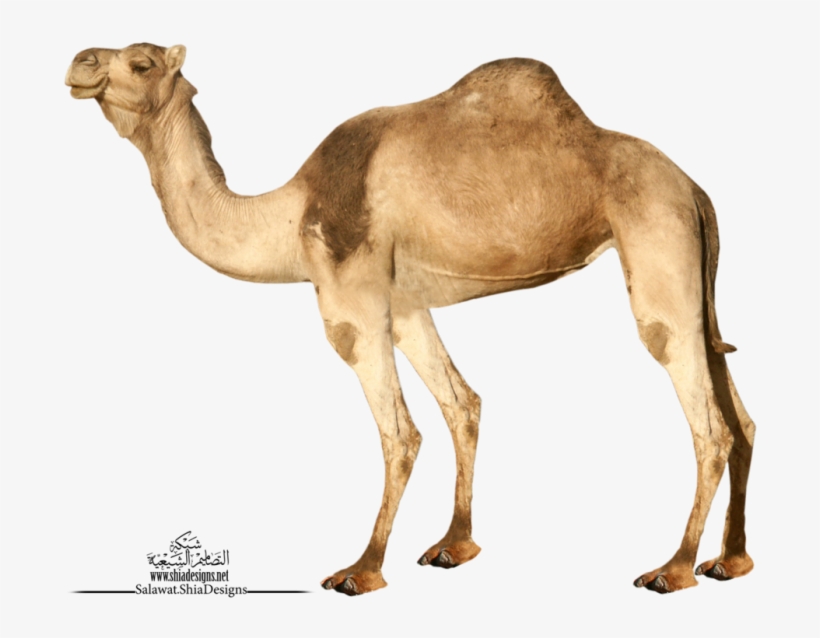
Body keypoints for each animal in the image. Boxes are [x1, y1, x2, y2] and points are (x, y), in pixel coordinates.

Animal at [65, 43, 756, 596]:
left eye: (142, 62)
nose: (80, 62)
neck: (289, 217)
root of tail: (694, 190)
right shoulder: (404, 303)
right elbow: (462, 404)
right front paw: (455, 544)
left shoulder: (351, 299)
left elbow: (400, 432)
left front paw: (362, 569)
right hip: (691, 268)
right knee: (739, 415)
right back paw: (731, 561)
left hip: (656, 238)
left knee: (706, 419)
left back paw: (674, 568)